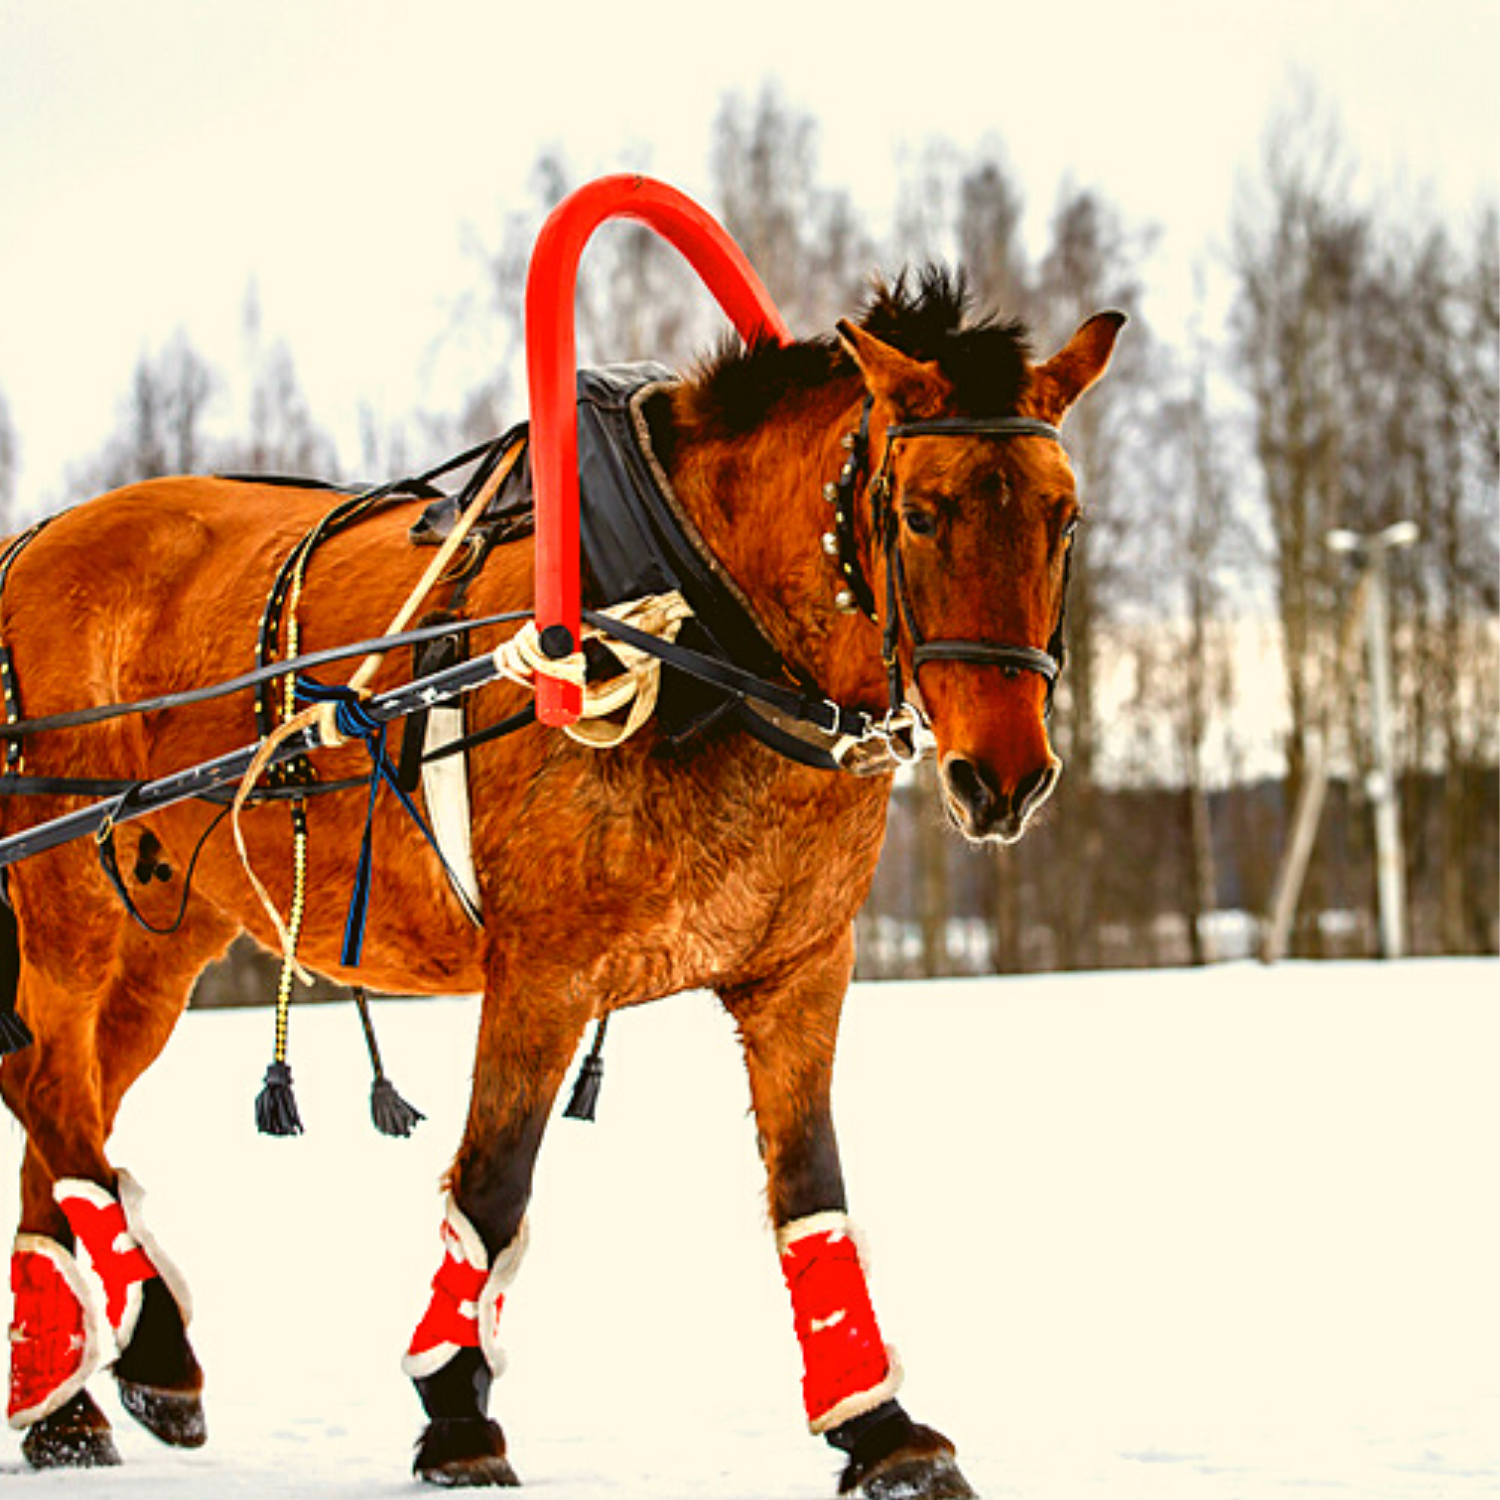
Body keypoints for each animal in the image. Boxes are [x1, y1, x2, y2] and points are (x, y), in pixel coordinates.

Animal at [0, 273, 1116, 1500]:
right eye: (920, 512)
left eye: (1063, 516)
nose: (1003, 777)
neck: (691, 625)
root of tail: (31, 540)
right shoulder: (542, 970)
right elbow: (494, 1182)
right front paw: (456, 1409)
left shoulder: (799, 972)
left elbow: (810, 1192)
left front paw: (881, 1425)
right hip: (66, 893)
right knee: (48, 1087)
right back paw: (156, 1349)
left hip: (162, 938)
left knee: (56, 1113)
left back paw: (60, 1404)